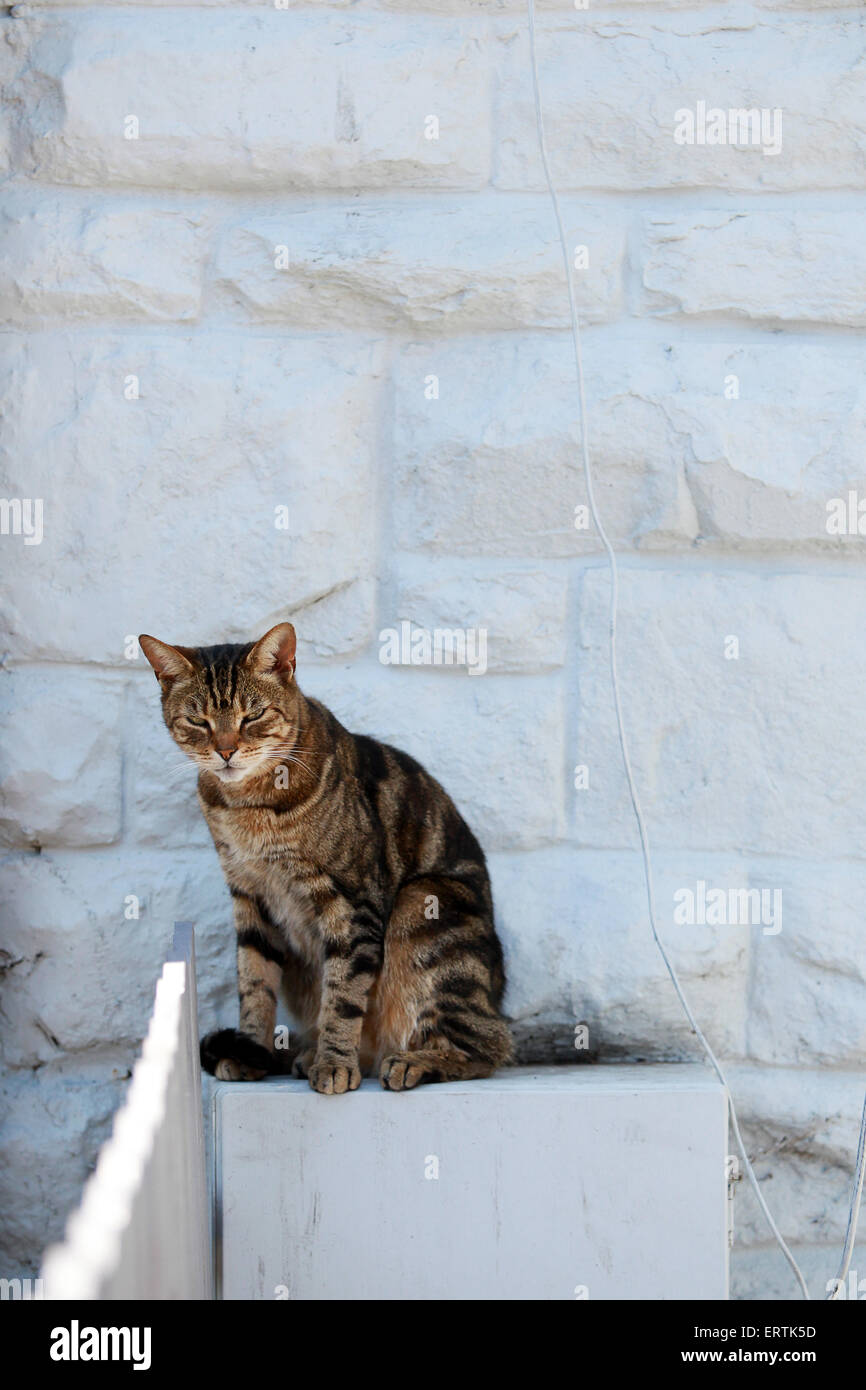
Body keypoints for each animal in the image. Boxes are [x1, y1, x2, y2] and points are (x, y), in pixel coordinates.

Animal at [139, 625, 511, 1089]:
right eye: (197, 721)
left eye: (252, 716)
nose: (225, 751)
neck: (249, 808)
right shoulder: (248, 896)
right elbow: (254, 983)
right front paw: (250, 1050)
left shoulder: (352, 903)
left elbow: (343, 993)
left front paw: (334, 1063)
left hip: (423, 902)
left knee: (492, 1043)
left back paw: (412, 1061)